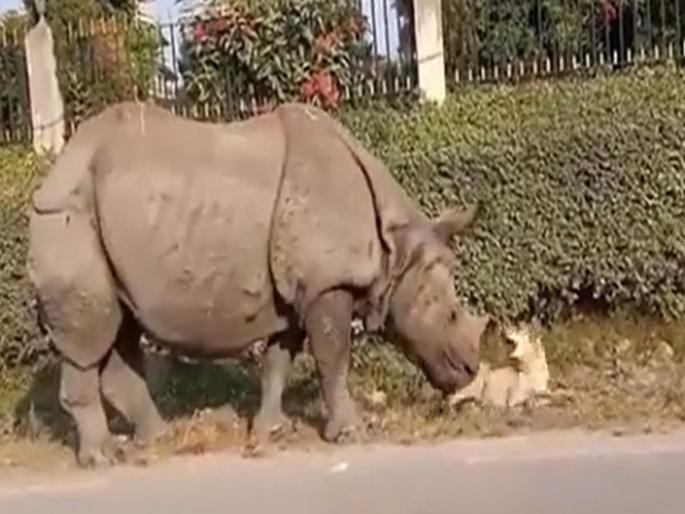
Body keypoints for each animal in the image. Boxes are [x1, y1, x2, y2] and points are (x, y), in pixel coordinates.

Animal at [27, 101, 488, 467]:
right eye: (449, 314)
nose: (470, 369)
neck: (396, 249)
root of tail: (54, 171)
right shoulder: (326, 287)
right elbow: (333, 361)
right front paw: (351, 434)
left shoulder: (296, 296)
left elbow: (278, 361)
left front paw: (272, 430)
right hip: (68, 216)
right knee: (89, 340)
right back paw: (103, 459)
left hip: (105, 218)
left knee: (118, 329)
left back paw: (157, 438)